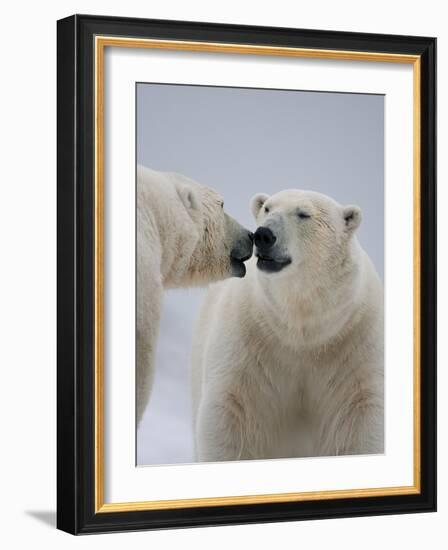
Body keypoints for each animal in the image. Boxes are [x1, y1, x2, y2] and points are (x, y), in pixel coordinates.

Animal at [191, 189, 384, 462]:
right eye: (267, 208)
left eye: (303, 214)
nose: (263, 235)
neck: (299, 325)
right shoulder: (248, 338)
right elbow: (230, 411)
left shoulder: (355, 342)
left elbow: (360, 415)